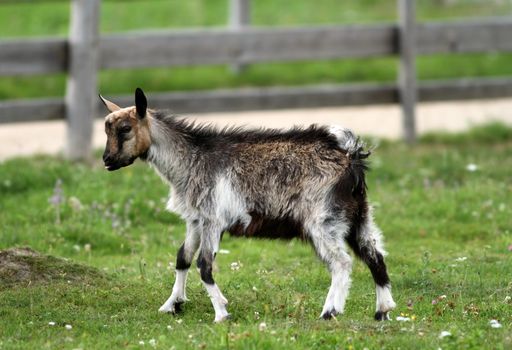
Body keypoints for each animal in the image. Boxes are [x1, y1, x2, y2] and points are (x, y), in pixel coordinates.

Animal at [99, 88, 396, 322]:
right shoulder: (195, 219)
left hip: (322, 220)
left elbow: (204, 265)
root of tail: (350, 157)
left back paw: (329, 312)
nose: (107, 160)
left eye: (125, 129)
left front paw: (221, 312)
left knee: (341, 262)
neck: (191, 160)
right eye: (107, 129)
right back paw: (383, 311)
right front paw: (171, 304)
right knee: (374, 255)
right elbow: (183, 258)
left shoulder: (213, 219)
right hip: (359, 216)